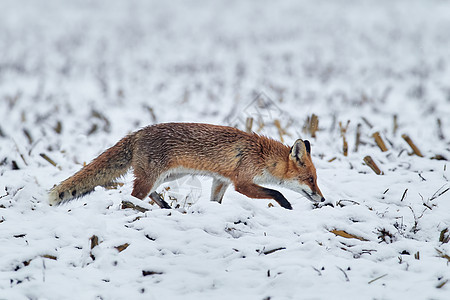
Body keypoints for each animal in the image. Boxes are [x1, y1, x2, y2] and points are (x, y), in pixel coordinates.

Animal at [48, 122, 324, 209]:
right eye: (310, 179)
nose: (322, 199)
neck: (261, 156)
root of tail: (137, 133)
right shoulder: (242, 183)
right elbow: (275, 192)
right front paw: (287, 206)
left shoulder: (221, 180)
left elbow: (215, 202)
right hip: (152, 176)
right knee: (133, 196)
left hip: (165, 177)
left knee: (148, 194)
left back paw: (165, 206)